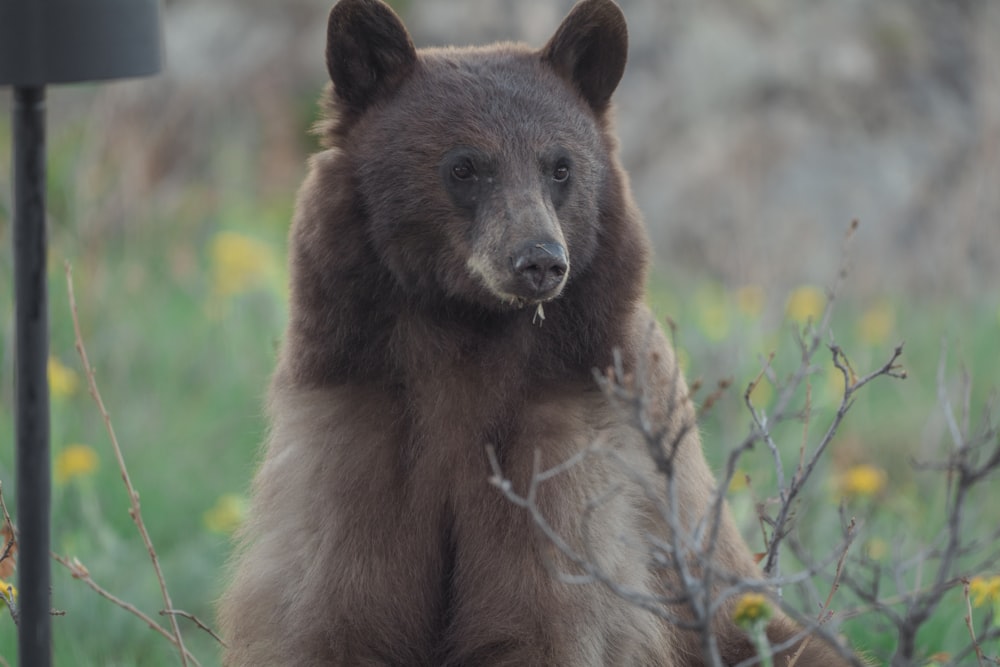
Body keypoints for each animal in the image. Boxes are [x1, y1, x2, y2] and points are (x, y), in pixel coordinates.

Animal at [221, 0, 860, 664]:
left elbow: (544, 613)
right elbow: (335, 610)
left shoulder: (567, 451)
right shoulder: (358, 427)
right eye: (465, 166)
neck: (463, 337)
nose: (540, 260)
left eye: (560, 166)